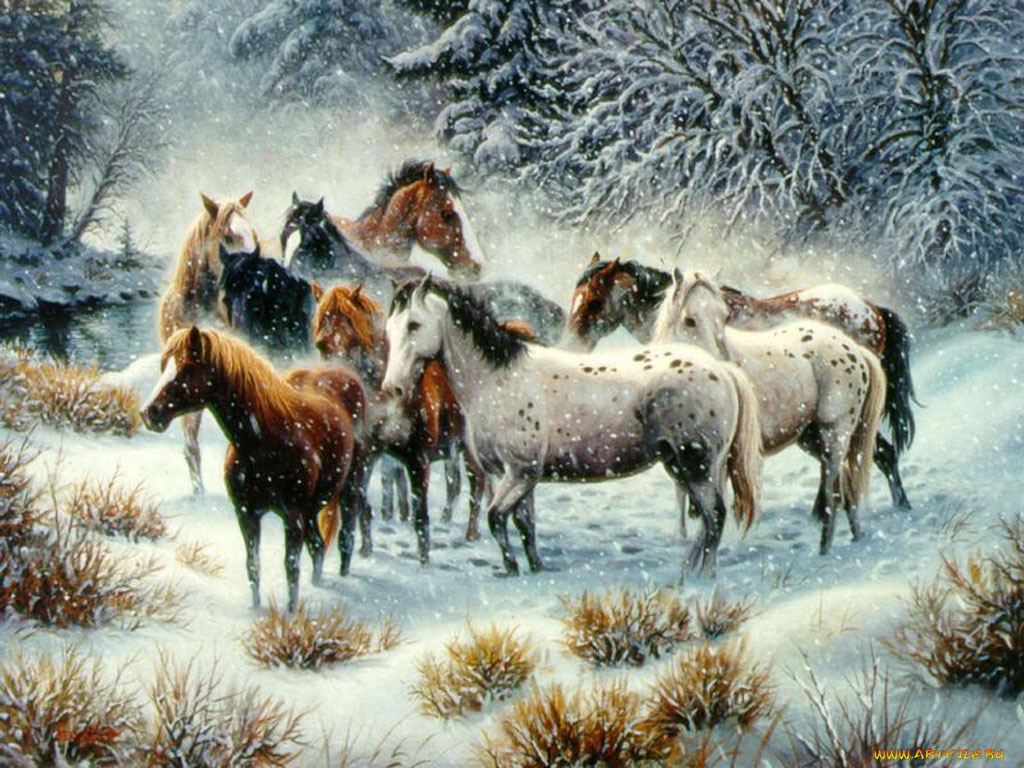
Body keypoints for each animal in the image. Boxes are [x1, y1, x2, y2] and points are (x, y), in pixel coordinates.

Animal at [139, 327, 363, 612]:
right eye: (163, 365)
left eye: (187, 368)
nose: (149, 413)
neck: (264, 440)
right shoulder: (247, 513)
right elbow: (253, 565)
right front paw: (255, 609)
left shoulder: (292, 517)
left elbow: (291, 568)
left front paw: (291, 613)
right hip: (312, 509)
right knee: (318, 546)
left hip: (351, 487)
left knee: (346, 537)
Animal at [311, 283, 487, 548]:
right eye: (321, 345)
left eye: (354, 341)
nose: (338, 384)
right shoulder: (367, 458)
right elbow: (363, 505)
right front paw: (366, 549)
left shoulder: (419, 459)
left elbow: (420, 516)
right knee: (456, 484)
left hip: (468, 447)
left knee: (476, 483)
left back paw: (471, 533)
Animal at [382, 276, 763, 580]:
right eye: (389, 329)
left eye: (414, 324)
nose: (393, 388)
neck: (498, 380)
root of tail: (721, 369)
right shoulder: (520, 477)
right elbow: (525, 525)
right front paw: (534, 569)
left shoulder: (519, 473)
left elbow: (496, 519)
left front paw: (512, 570)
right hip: (686, 465)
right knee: (708, 520)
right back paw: (687, 572)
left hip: (697, 465)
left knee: (715, 516)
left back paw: (703, 578)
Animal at [653, 270, 887, 554]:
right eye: (690, 320)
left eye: (724, 317)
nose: (724, 367)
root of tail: (855, 350)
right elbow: (683, 492)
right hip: (814, 439)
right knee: (847, 487)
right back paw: (856, 538)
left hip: (835, 436)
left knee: (833, 493)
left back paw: (825, 552)